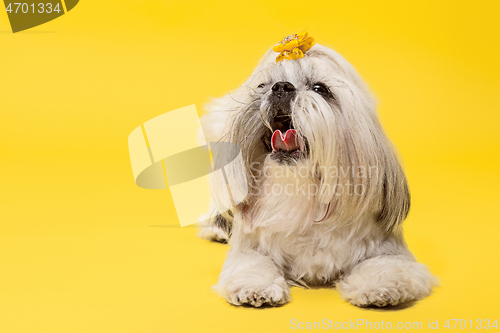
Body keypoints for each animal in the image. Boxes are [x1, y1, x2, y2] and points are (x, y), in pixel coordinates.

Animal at [198, 33, 434, 306]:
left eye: (320, 89)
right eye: (263, 86)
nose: (281, 87)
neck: (302, 195)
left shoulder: (388, 249)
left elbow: (385, 266)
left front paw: (379, 287)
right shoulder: (250, 246)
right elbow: (252, 264)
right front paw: (254, 288)